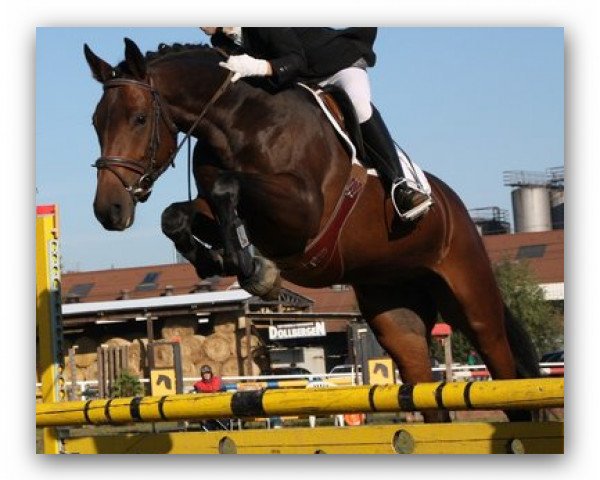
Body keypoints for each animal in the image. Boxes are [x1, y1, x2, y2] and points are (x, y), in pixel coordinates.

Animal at [84, 39, 540, 422]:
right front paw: (224, 262)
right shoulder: (230, 211)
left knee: (505, 372)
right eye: (95, 123)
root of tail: (455, 208)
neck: (240, 123)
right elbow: (178, 215)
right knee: (425, 387)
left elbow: (227, 186)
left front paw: (253, 270)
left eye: (139, 119)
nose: (109, 210)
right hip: (396, 314)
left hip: (472, 301)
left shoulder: (301, 213)